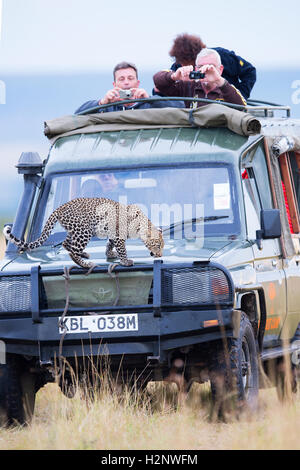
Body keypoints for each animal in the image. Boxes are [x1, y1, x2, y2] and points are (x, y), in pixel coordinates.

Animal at [3, 197, 164, 270]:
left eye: (162, 246)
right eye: (157, 245)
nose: (160, 255)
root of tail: (59, 208)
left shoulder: (112, 233)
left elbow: (109, 243)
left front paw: (110, 254)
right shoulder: (118, 235)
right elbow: (122, 249)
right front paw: (125, 261)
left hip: (75, 230)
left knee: (65, 243)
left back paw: (84, 254)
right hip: (84, 231)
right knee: (72, 252)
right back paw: (86, 264)